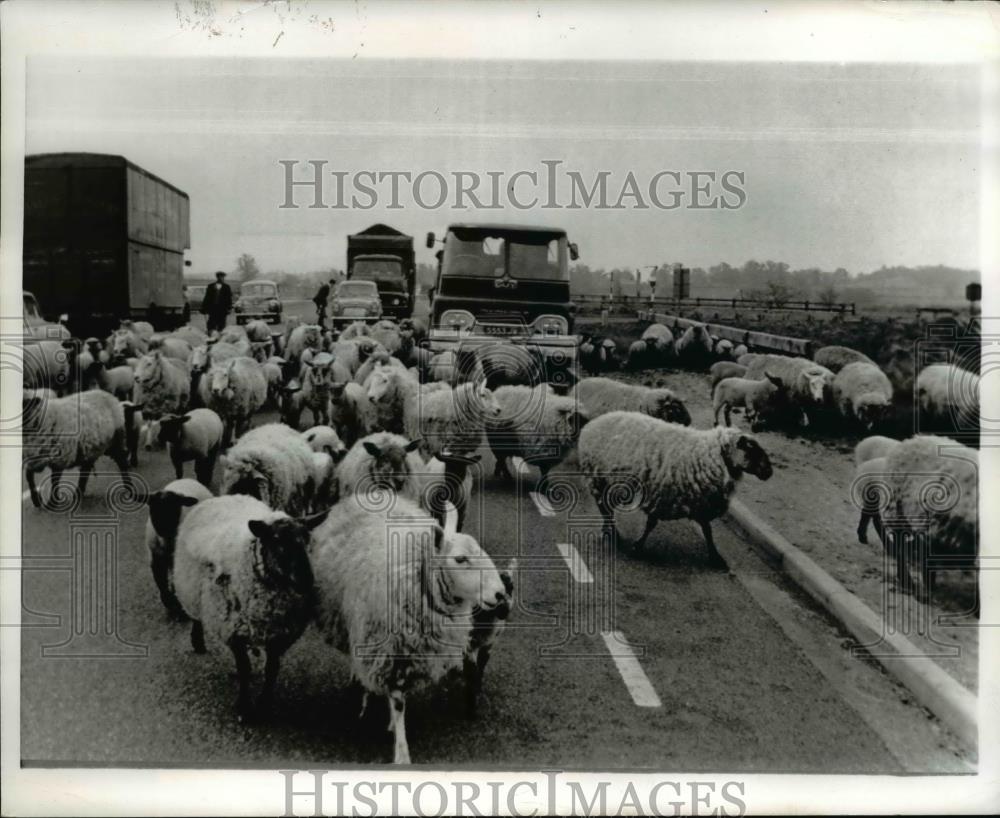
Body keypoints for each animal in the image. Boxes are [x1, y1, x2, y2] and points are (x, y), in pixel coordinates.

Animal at [144, 474, 212, 616]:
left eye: (175, 506)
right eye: (153, 507)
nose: (163, 528)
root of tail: (186, 479)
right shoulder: (156, 559)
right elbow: (160, 582)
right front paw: (169, 602)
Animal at [173, 488, 328, 716]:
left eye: (307, 538)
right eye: (276, 540)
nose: (306, 581)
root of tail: (226, 497)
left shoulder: (279, 634)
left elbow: (272, 669)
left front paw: (264, 704)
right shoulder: (234, 630)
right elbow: (244, 668)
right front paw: (244, 706)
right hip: (192, 590)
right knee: (196, 617)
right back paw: (198, 641)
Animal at [310, 494, 512, 760]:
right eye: (460, 559)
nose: (500, 595)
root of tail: (368, 495)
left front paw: (392, 727)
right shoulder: (390, 652)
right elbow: (398, 703)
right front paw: (401, 753)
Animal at [580, 412, 772, 564]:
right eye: (751, 448)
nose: (769, 472)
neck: (711, 456)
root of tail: (593, 423)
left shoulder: (699, 501)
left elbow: (707, 530)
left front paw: (715, 557)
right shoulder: (661, 496)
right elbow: (651, 524)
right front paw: (638, 547)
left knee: (606, 509)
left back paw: (609, 531)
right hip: (599, 480)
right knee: (605, 509)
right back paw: (613, 533)